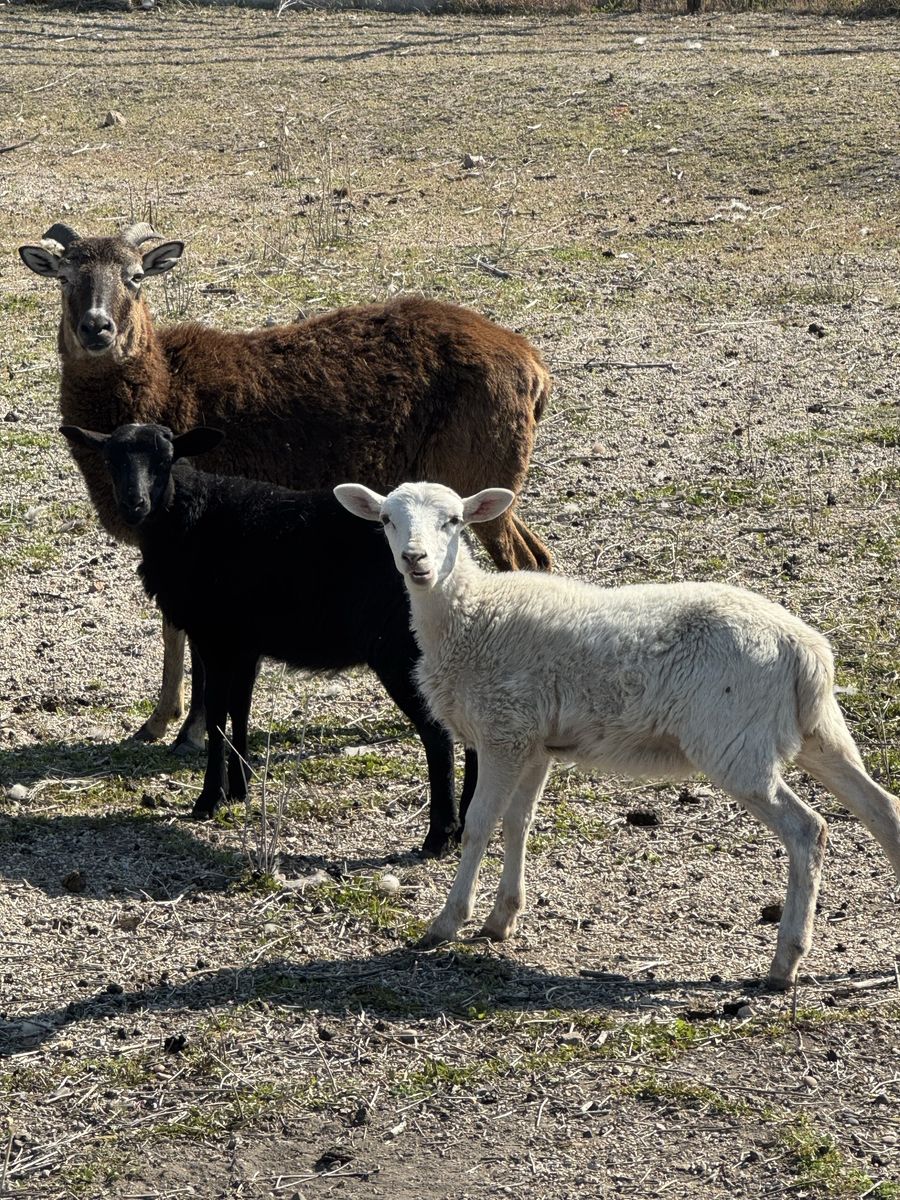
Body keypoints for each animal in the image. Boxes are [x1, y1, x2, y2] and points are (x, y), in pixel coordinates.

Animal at [20, 221, 551, 751]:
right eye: (64, 278)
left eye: (135, 277)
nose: (96, 328)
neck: (166, 388)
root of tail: (533, 367)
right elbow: (173, 628)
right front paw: (155, 723)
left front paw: (190, 731)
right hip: (495, 484)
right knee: (538, 557)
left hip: (481, 469)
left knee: (517, 562)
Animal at [58, 424, 477, 857]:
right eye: (110, 459)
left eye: (164, 460)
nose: (133, 504)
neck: (189, 519)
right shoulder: (245, 646)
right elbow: (240, 709)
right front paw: (239, 789)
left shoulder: (216, 640)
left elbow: (216, 714)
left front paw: (208, 799)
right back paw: (465, 826)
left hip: (399, 652)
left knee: (437, 736)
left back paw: (439, 835)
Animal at [334, 480, 900, 989]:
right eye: (386, 520)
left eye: (454, 521)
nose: (416, 561)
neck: (470, 614)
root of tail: (802, 648)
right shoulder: (533, 740)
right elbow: (519, 822)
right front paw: (501, 918)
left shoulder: (502, 732)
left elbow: (479, 826)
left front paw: (448, 922)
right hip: (818, 731)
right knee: (882, 807)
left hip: (735, 741)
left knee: (808, 830)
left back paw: (784, 964)